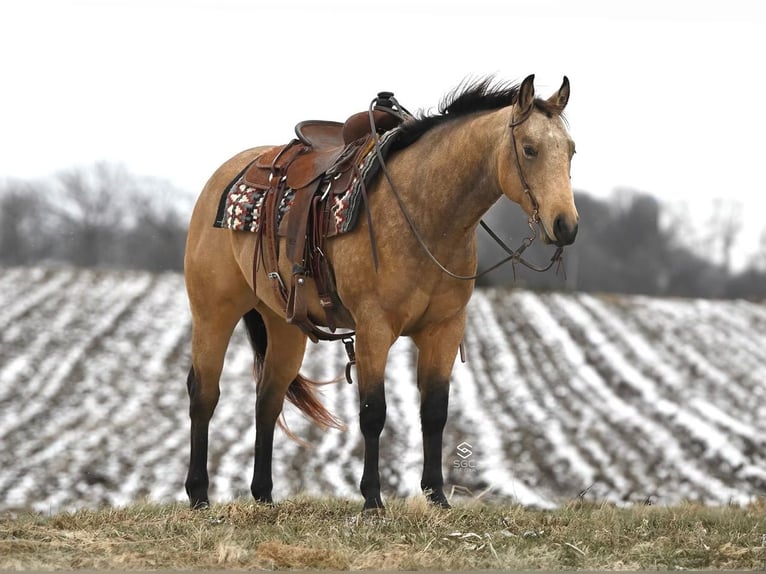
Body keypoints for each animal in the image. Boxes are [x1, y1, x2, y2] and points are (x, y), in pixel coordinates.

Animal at [183, 74, 580, 510]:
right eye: (529, 149)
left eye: (571, 151)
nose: (565, 226)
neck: (424, 212)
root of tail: (224, 177)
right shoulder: (374, 329)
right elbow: (374, 412)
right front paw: (373, 499)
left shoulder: (445, 328)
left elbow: (434, 412)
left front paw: (437, 497)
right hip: (213, 313)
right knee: (204, 394)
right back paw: (199, 494)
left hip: (284, 326)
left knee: (267, 399)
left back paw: (264, 497)